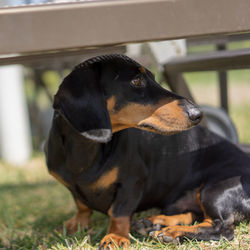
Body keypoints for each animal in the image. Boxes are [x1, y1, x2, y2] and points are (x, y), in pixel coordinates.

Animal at [45, 54, 250, 248]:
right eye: (136, 81)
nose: (197, 114)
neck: (84, 152)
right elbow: (81, 205)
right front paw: (77, 224)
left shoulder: (131, 183)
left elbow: (118, 212)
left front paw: (115, 237)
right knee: (195, 214)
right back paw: (157, 222)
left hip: (215, 189)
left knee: (221, 228)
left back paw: (173, 233)